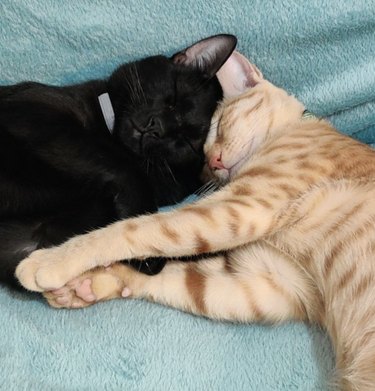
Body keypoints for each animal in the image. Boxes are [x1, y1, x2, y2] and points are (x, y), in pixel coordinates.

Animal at [0, 34, 236, 288]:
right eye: (173, 99)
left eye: (186, 141)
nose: (157, 129)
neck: (111, 136)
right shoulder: (37, 122)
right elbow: (126, 168)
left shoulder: (28, 240)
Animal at [16, 51, 375, 388]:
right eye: (201, 157)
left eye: (218, 126)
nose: (213, 162)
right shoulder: (269, 284)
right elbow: (178, 279)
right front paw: (88, 284)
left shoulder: (240, 209)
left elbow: (135, 229)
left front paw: (52, 261)